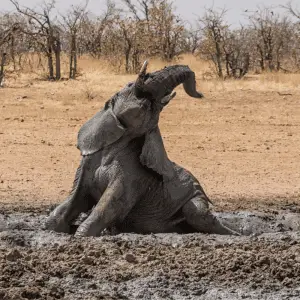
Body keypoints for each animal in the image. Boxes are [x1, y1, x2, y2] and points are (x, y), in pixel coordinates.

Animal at [45, 62, 237, 237]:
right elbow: (71, 203)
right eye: (130, 86)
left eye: (156, 107)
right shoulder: (87, 163)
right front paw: (60, 227)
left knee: (197, 212)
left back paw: (236, 233)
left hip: (196, 198)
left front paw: (80, 234)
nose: (201, 94)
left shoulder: (133, 178)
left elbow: (110, 205)